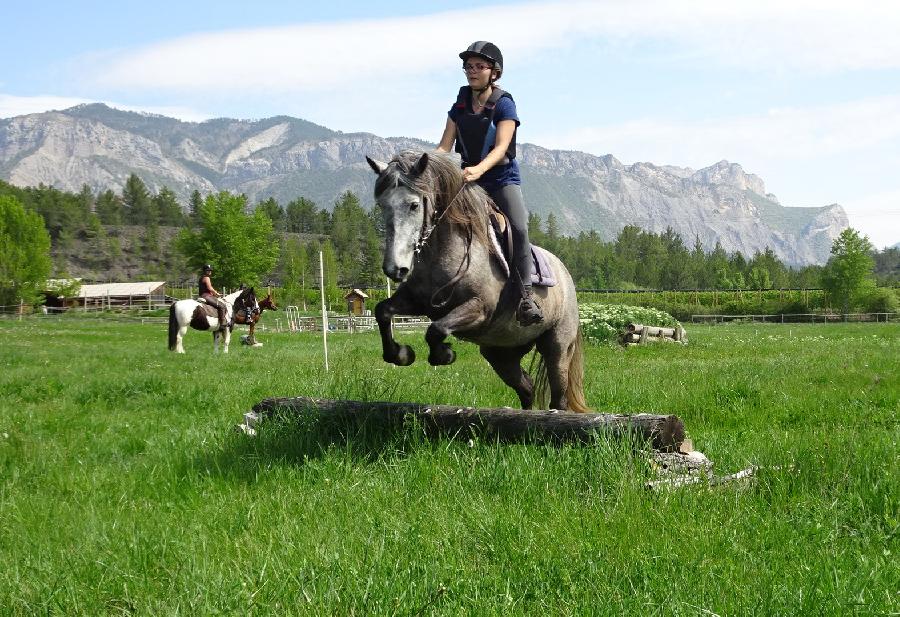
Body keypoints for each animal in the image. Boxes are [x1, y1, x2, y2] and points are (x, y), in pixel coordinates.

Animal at [366, 150, 592, 412]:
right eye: (382, 205)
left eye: (413, 205)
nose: (395, 269)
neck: (443, 250)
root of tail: (565, 274)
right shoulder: (417, 301)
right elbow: (382, 311)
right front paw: (400, 354)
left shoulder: (479, 308)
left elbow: (436, 329)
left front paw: (444, 354)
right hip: (501, 352)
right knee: (526, 387)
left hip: (557, 346)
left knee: (558, 396)